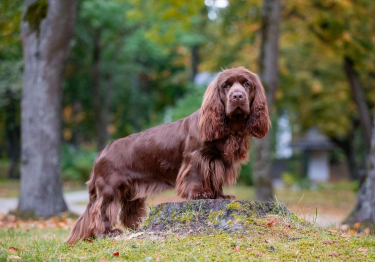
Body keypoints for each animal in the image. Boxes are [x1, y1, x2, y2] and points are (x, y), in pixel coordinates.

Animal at [66, 67, 268, 244]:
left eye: (247, 84)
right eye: (225, 86)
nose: (237, 96)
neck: (230, 128)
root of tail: (100, 154)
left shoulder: (217, 161)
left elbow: (215, 181)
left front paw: (220, 196)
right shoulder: (196, 158)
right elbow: (197, 176)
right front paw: (200, 194)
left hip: (131, 191)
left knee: (127, 211)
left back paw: (136, 228)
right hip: (110, 188)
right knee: (101, 211)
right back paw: (107, 233)